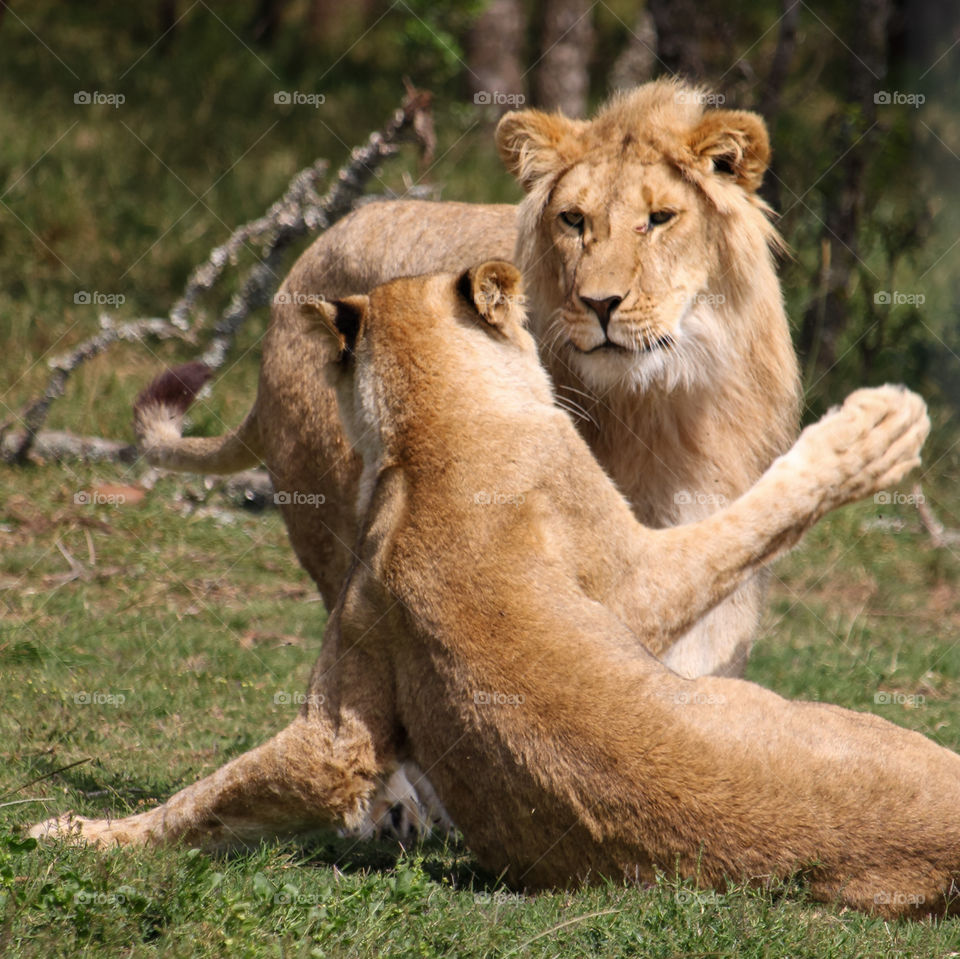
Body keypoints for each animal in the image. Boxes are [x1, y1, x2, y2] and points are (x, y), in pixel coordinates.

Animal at [32, 262, 946, 919]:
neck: (435, 425)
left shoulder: (347, 688)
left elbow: (224, 789)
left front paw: (81, 834)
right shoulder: (636, 578)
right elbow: (751, 519)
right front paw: (875, 431)